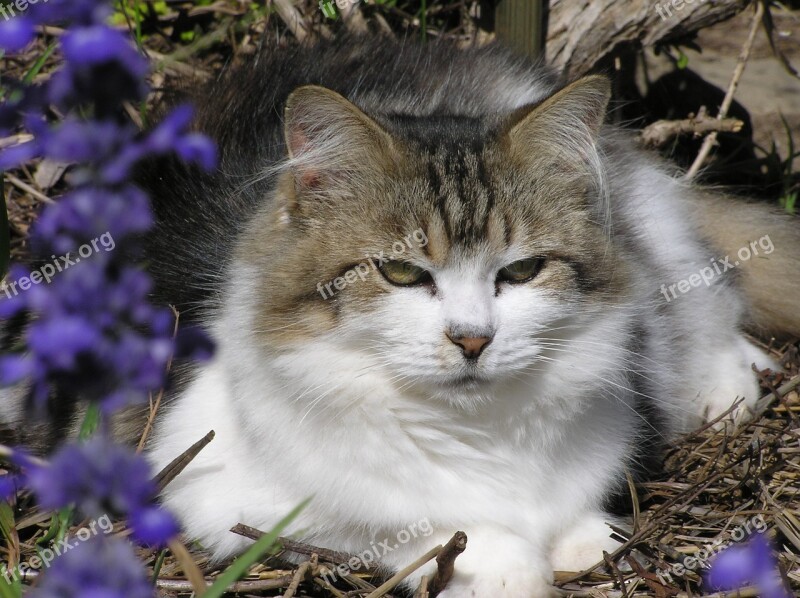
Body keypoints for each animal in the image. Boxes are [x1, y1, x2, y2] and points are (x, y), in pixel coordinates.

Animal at [6, 34, 800, 598]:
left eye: (519, 273)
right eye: (400, 273)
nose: (473, 339)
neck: (477, 433)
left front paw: (580, 538)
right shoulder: (204, 484)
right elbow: (401, 523)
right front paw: (510, 560)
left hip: (654, 233)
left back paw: (731, 385)